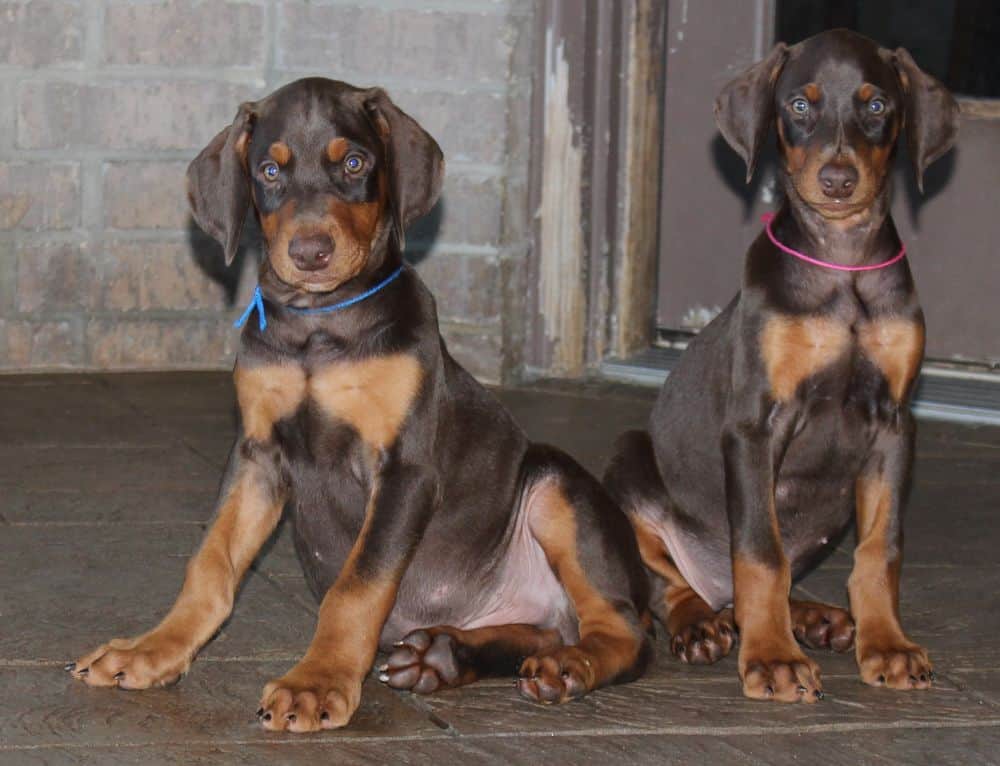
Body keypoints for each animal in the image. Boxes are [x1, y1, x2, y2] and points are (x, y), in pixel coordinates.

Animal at [68, 81, 648, 736]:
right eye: (269, 170)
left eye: (353, 163)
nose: (310, 251)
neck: (320, 326)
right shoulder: (258, 455)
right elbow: (211, 563)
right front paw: (154, 649)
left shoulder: (403, 469)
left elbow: (356, 585)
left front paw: (316, 682)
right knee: (548, 627)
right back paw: (442, 655)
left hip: (556, 487)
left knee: (621, 629)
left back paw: (565, 666)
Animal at [600, 28, 960, 704]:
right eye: (798, 105)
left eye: (877, 106)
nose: (839, 179)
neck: (842, 265)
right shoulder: (755, 425)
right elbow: (760, 552)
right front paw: (771, 657)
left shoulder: (895, 423)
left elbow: (881, 550)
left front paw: (888, 645)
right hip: (628, 459)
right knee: (666, 579)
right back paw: (703, 623)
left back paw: (814, 617)